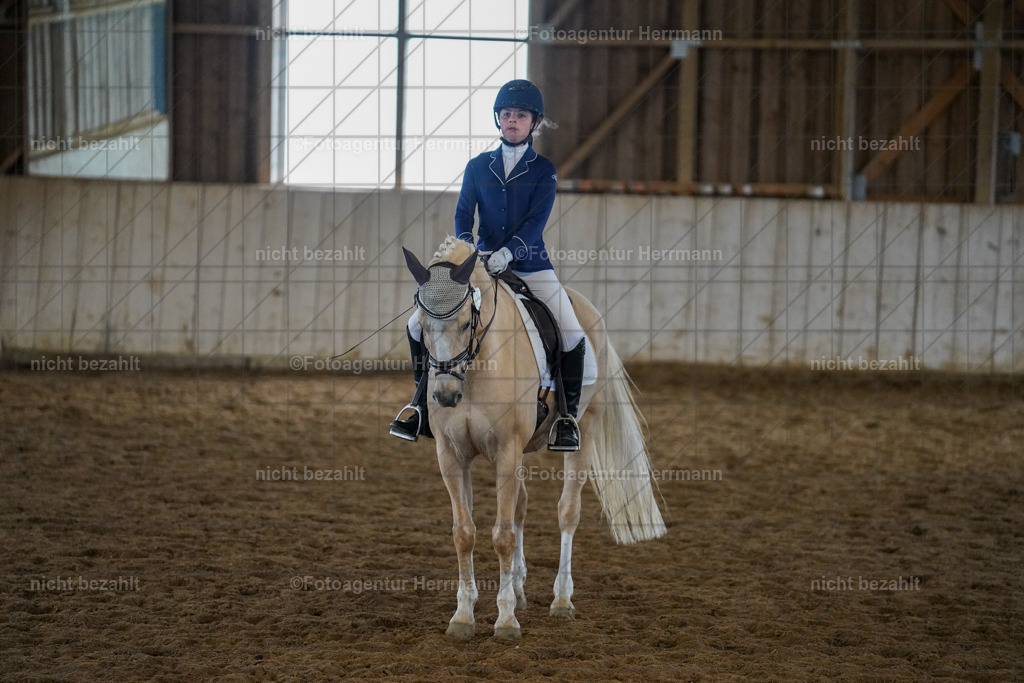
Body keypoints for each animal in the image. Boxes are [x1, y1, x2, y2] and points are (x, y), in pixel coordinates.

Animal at [401, 236, 666, 642]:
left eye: (466, 322)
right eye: (424, 327)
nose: (445, 396)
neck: (478, 368)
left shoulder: (508, 452)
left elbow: (503, 536)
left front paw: (506, 620)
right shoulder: (451, 455)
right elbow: (464, 532)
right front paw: (463, 616)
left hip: (585, 430)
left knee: (567, 511)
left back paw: (561, 600)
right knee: (522, 506)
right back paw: (521, 589)